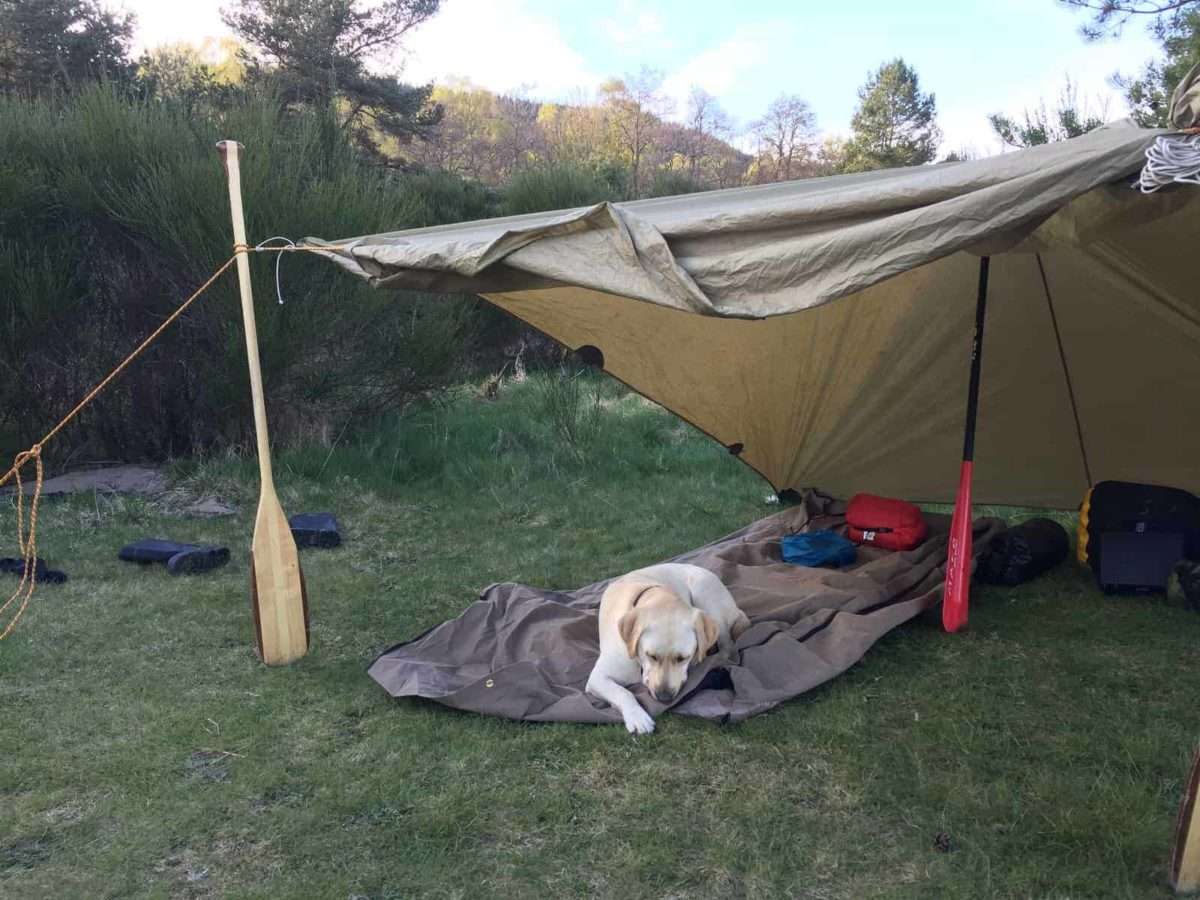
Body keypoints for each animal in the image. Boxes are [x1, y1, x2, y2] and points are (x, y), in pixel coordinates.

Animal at [583, 566, 744, 734]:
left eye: (682, 658)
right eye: (651, 656)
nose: (664, 698)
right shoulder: (597, 678)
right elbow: (622, 692)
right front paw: (637, 717)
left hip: (705, 595)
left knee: (730, 649)